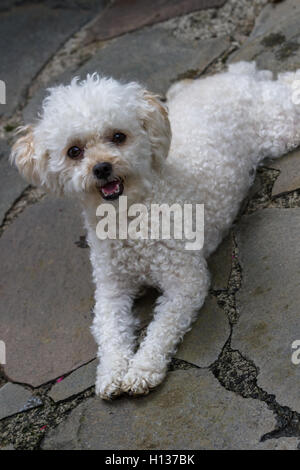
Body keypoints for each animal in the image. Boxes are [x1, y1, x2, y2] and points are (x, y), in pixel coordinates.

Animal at [11, 62, 300, 400]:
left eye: (118, 136)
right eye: (74, 151)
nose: (102, 168)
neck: (128, 217)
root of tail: (237, 76)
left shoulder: (185, 281)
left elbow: (162, 328)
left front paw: (141, 370)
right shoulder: (111, 290)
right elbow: (110, 333)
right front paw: (111, 372)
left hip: (281, 128)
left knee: (289, 85)